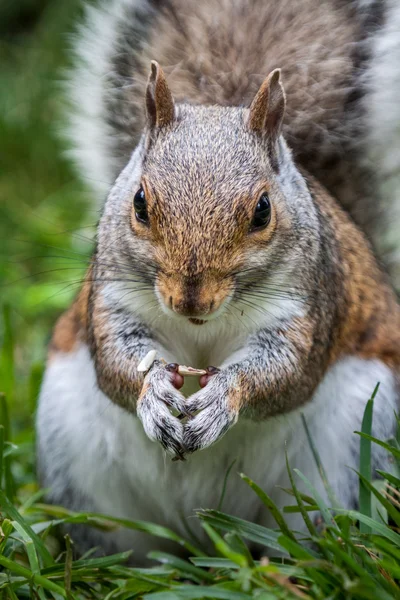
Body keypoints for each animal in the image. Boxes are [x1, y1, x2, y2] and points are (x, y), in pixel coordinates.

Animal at [36, 0, 400, 564]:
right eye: (139, 203)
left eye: (263, 210)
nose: (190, 301)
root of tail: (203, 529)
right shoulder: (113, 300)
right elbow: (117, 365)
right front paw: (152, 393)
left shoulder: (311, 306)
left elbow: (287, 375)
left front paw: (224, 396)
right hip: (74, 457)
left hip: (349, 455)